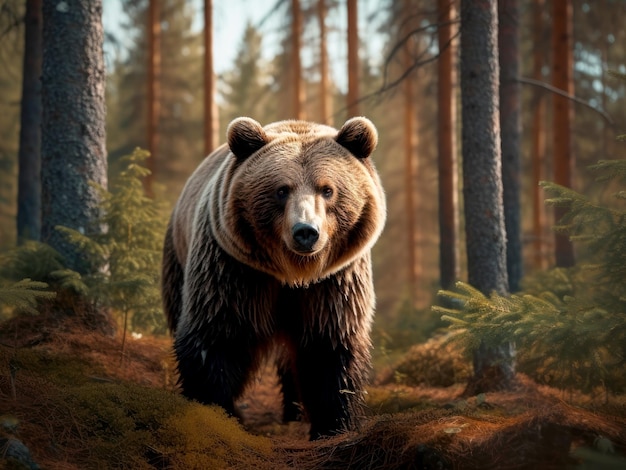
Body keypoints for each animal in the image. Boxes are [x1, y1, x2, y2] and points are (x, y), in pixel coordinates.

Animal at [161, 115, 386, 438]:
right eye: (282, 190)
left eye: (327, 189)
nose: (306, 231)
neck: (292, 274)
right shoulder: (234, 272)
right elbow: (214, 339)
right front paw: (216, 412)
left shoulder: (333, 283)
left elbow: (330, 346)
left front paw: (334, 425)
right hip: (178, 260)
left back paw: (295, 411)